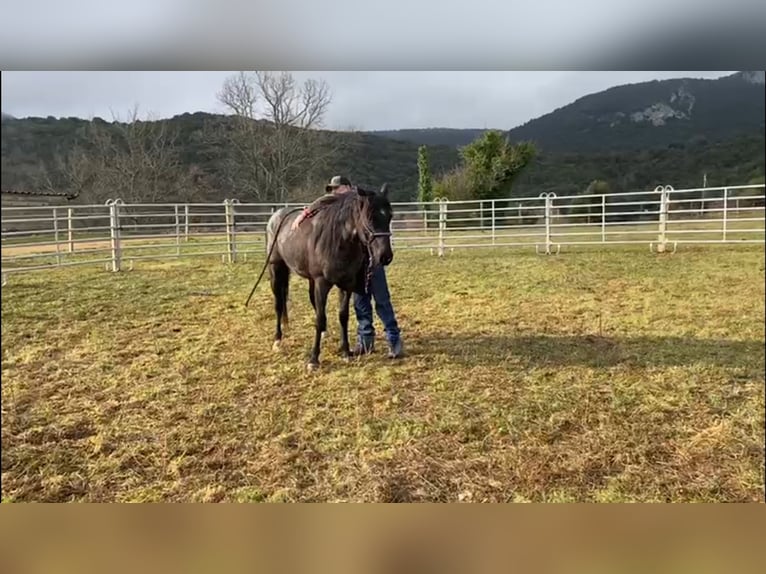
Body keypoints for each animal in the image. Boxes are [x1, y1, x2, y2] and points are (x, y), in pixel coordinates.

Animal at [246, 187, 396, 372]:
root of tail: (276, 217)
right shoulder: (321, 283)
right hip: (276, 270)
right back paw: (277, 340)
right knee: (279, 305)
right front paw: (313, 360)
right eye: (369, 217)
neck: (338, 240)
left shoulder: (346, 284)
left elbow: (343, 316)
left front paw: (346, 352)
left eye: (389, 216)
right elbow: (319, 317)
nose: (385, 256)